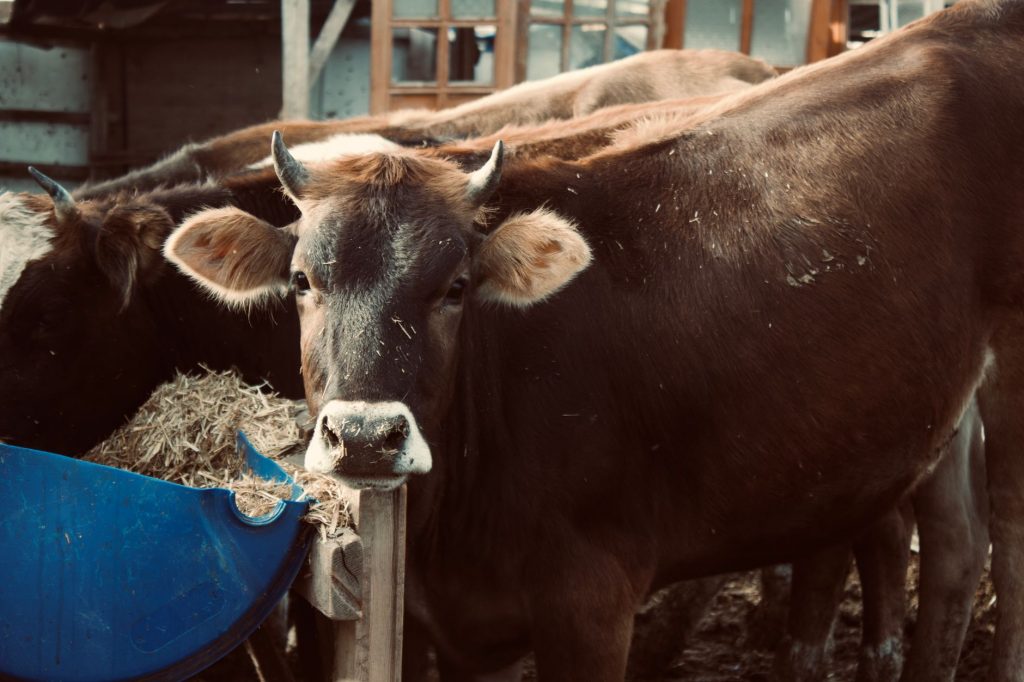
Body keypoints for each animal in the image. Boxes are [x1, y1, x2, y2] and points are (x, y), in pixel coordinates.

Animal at [165, 2, 1024, 679]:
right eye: (302, 281)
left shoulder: (589, 599)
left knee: (1005, 551)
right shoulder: (467, 630)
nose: (367, 438)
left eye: (456, 287)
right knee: (947, 550)